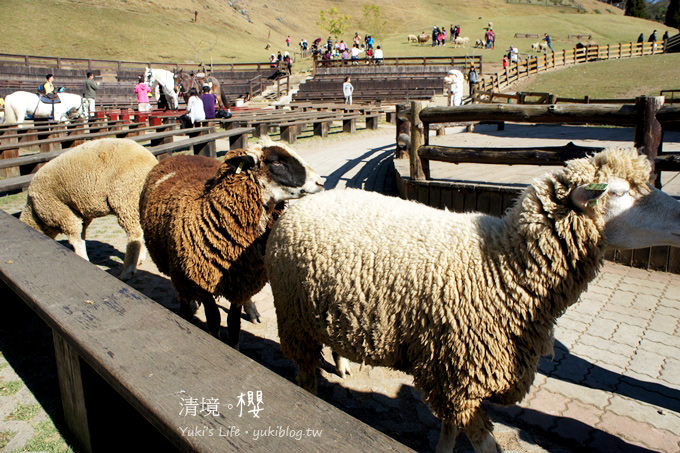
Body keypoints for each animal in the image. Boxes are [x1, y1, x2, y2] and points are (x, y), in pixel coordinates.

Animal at [18, 137, 158, 278]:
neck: (35, 214)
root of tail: (151, 160)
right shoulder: (80, 214)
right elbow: (81, 235)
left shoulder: (61, 211)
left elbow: (75, 239)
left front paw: (82, 259)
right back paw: (140, 259)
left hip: (125, 198)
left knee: (135, 234)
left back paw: (127, 271)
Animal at [139, 140, 324, 346]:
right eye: (276, 162)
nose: (320, 182)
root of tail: (180, 156)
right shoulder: (202, 282)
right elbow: (214, 319)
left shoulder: (241, 280)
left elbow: (234, 323)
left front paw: (234, 343)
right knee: (182, 292)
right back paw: (187, 309)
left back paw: (252, 312)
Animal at [266, 147, 680, 448]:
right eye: (619, 192)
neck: (502, 265)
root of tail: (305, 202)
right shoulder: (457, 374)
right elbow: (484, 445)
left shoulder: (451, 374)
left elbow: (449, 431)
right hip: (294, 318)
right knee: (305, 375)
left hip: (324, 309)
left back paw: (343, 365)